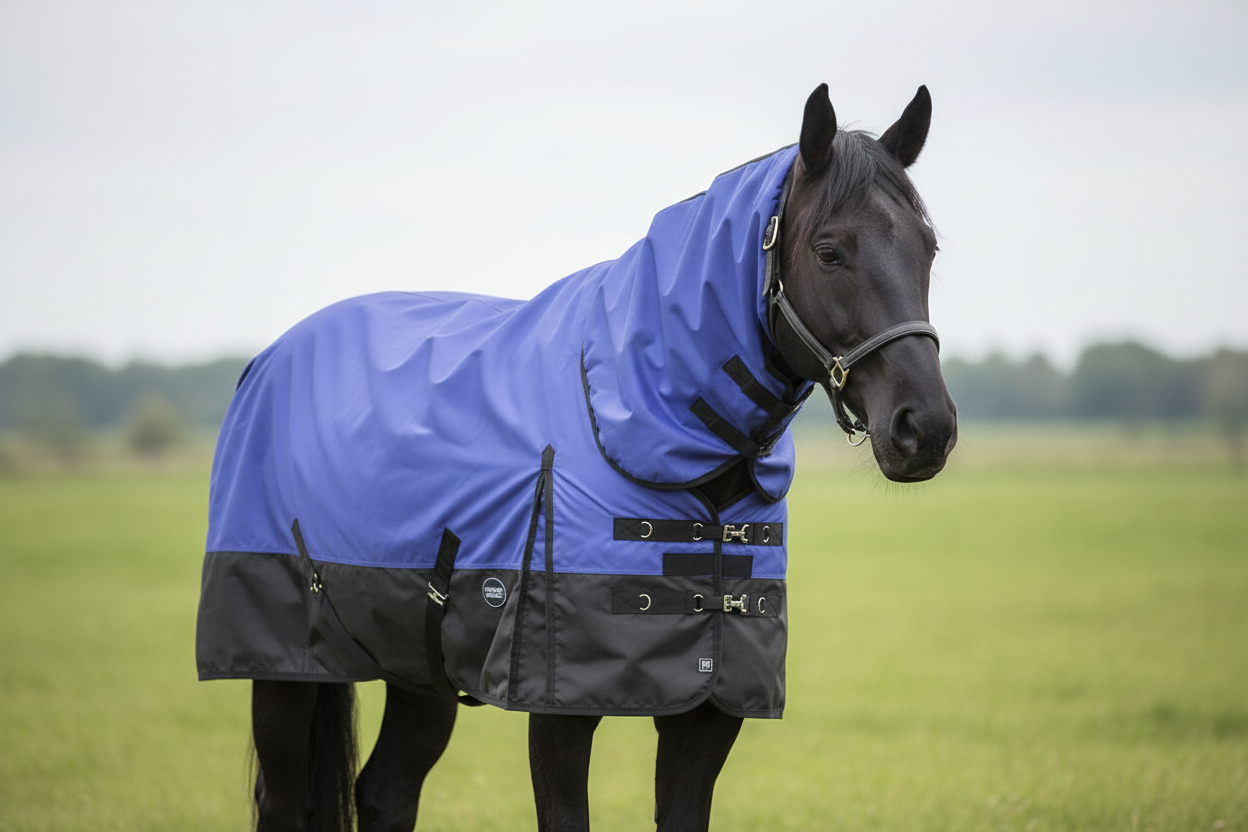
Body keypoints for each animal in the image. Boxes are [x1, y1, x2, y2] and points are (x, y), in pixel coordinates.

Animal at [196, 83, 957, 832]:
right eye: (830, 252)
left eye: (929, 249)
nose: (925, 429)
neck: (636, 408)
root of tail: (270, 357)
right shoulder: (558, 710)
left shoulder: (708, 712)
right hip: (286, 668)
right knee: (287, 802)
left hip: (418, 666)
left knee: (386, 793)